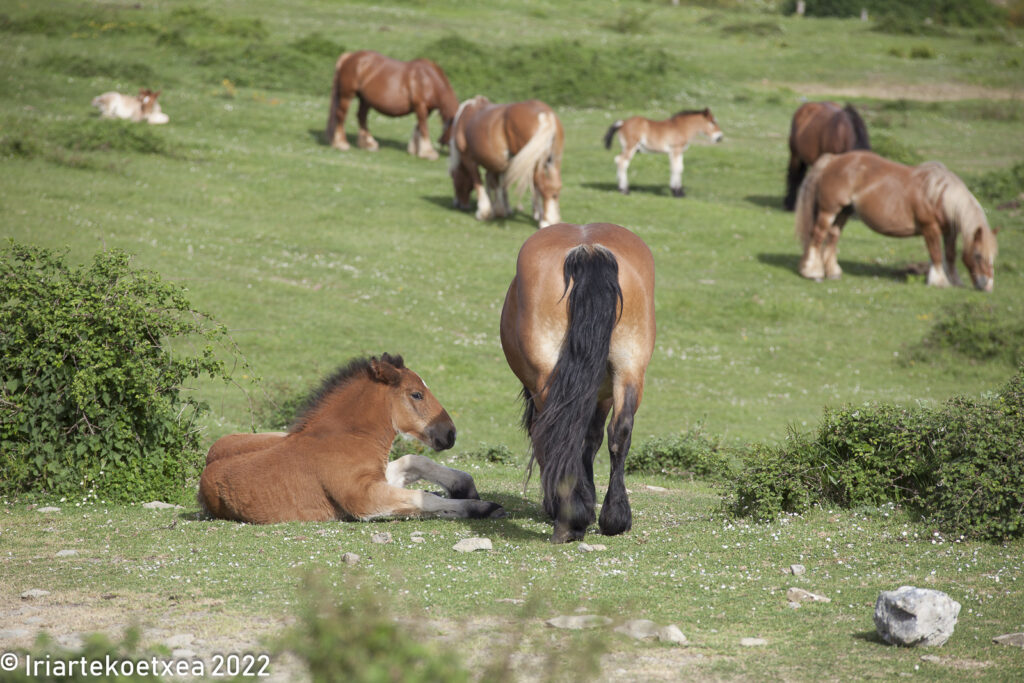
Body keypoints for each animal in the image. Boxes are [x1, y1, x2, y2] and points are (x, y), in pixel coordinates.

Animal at [197, 352, 505, 524]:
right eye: (416, 394)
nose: (449, 433)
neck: (346, 438)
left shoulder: (378, 477)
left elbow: (414, 461)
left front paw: (463, 486)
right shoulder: (363, 498)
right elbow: (423, 499)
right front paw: (483, 507)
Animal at [325, 50, 458, 160]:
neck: (428, 80)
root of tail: (349, 56)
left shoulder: (426, 110)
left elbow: (418, 127)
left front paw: (414, 150)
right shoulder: (421, 107)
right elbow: (424, 128)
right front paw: (428, 153)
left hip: (365, 100)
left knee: (361, 117)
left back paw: (368, 144)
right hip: (346, 96)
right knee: (341, 116)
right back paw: (341, 143)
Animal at [450, 94, 565, 228]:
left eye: (456, 181)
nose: (459, 205)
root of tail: (546, 114)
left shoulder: (468, 157)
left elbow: (479, 182)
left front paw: (484, 211)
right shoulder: (497, 162)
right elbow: (497, 183)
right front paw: (502, 208)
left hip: (537, 164)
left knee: (544, 186)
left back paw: (546, 220)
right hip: (553, 162)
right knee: (554, 185)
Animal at [501, 222, 659, 540]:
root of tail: (588, 248)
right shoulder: (603, 393)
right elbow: (594, 439)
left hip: (549, 380)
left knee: (558, 433)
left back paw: (569, 518)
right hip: (630, 369)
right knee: (620, 431)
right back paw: (615, 517)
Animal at [794, 149, 995, 290]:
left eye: (993, 256)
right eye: (978, 255)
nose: (987, 286)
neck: (938, 195)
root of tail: (834, 159)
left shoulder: (949, 232)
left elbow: (951, 256)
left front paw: (954, 281)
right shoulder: (930, 228)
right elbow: (936, 254)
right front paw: (939, 281)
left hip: (843, 213)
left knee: (832, 238)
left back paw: (833, 272)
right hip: (828, 211)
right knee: (818, 236)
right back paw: (813, 272)